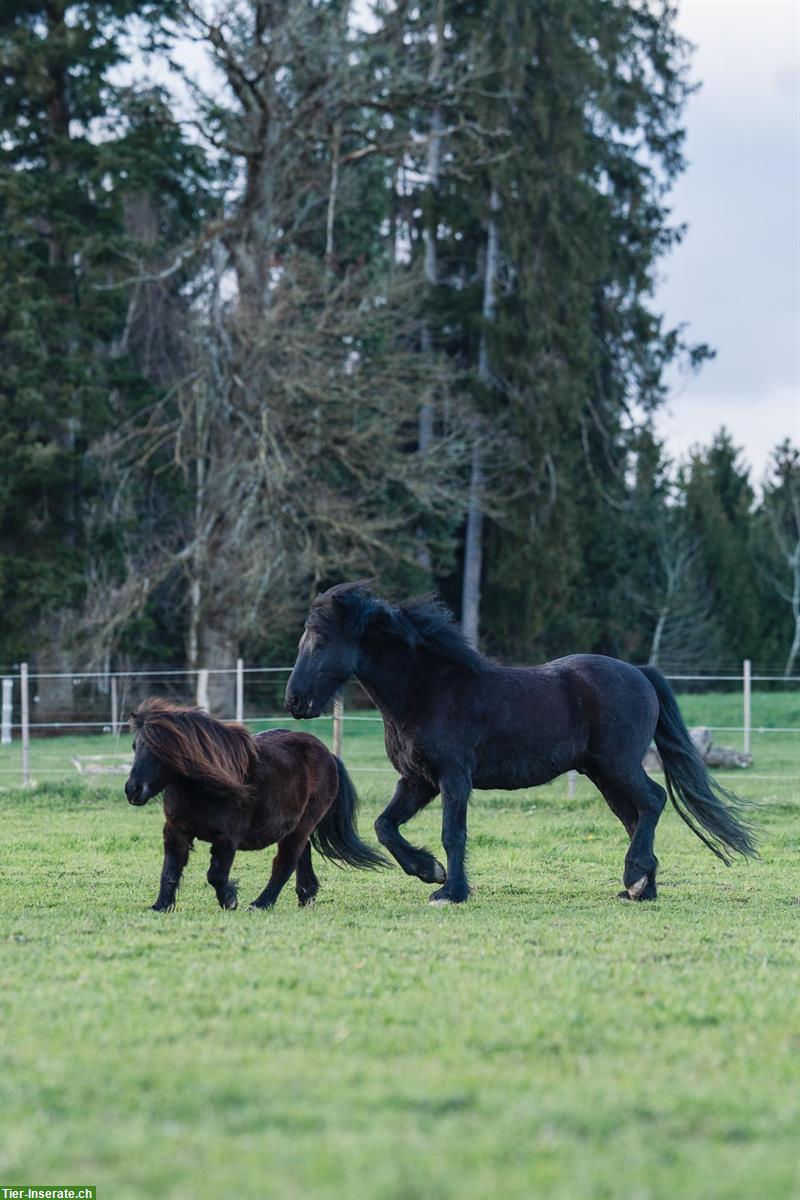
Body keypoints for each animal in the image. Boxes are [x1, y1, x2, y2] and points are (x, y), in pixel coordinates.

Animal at [126, 700, 386, 912]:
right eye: (135, 746)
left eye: (159, 750)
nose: (132, 790)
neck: (201, 790)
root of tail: (329, 755)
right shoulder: (176, 831)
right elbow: (169, 870)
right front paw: (160, 906)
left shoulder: (227, 838)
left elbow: (215, 875)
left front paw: (230, 900)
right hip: (295, 827)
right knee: (302, 856)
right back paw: (306, 896)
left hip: (302, 826)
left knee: (285, 863)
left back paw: (261, 903)